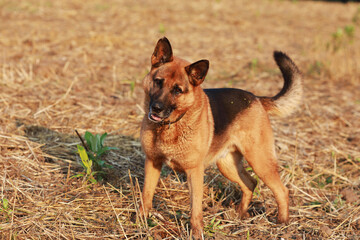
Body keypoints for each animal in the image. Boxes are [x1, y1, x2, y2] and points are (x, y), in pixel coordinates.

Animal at [139, 37, 302, 238]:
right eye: (158, 82)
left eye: (177, 90)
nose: (157, 108)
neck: (171, 125)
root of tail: (256, 98)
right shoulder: (152, 163)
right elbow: (146, 195)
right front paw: (141, 222)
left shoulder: (194, 172)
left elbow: (195, 209)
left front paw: (196, 233)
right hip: (227, 165)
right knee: (250, 183)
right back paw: (239, 215)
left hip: (260, 162)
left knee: (282, 190)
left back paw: (282, 224)